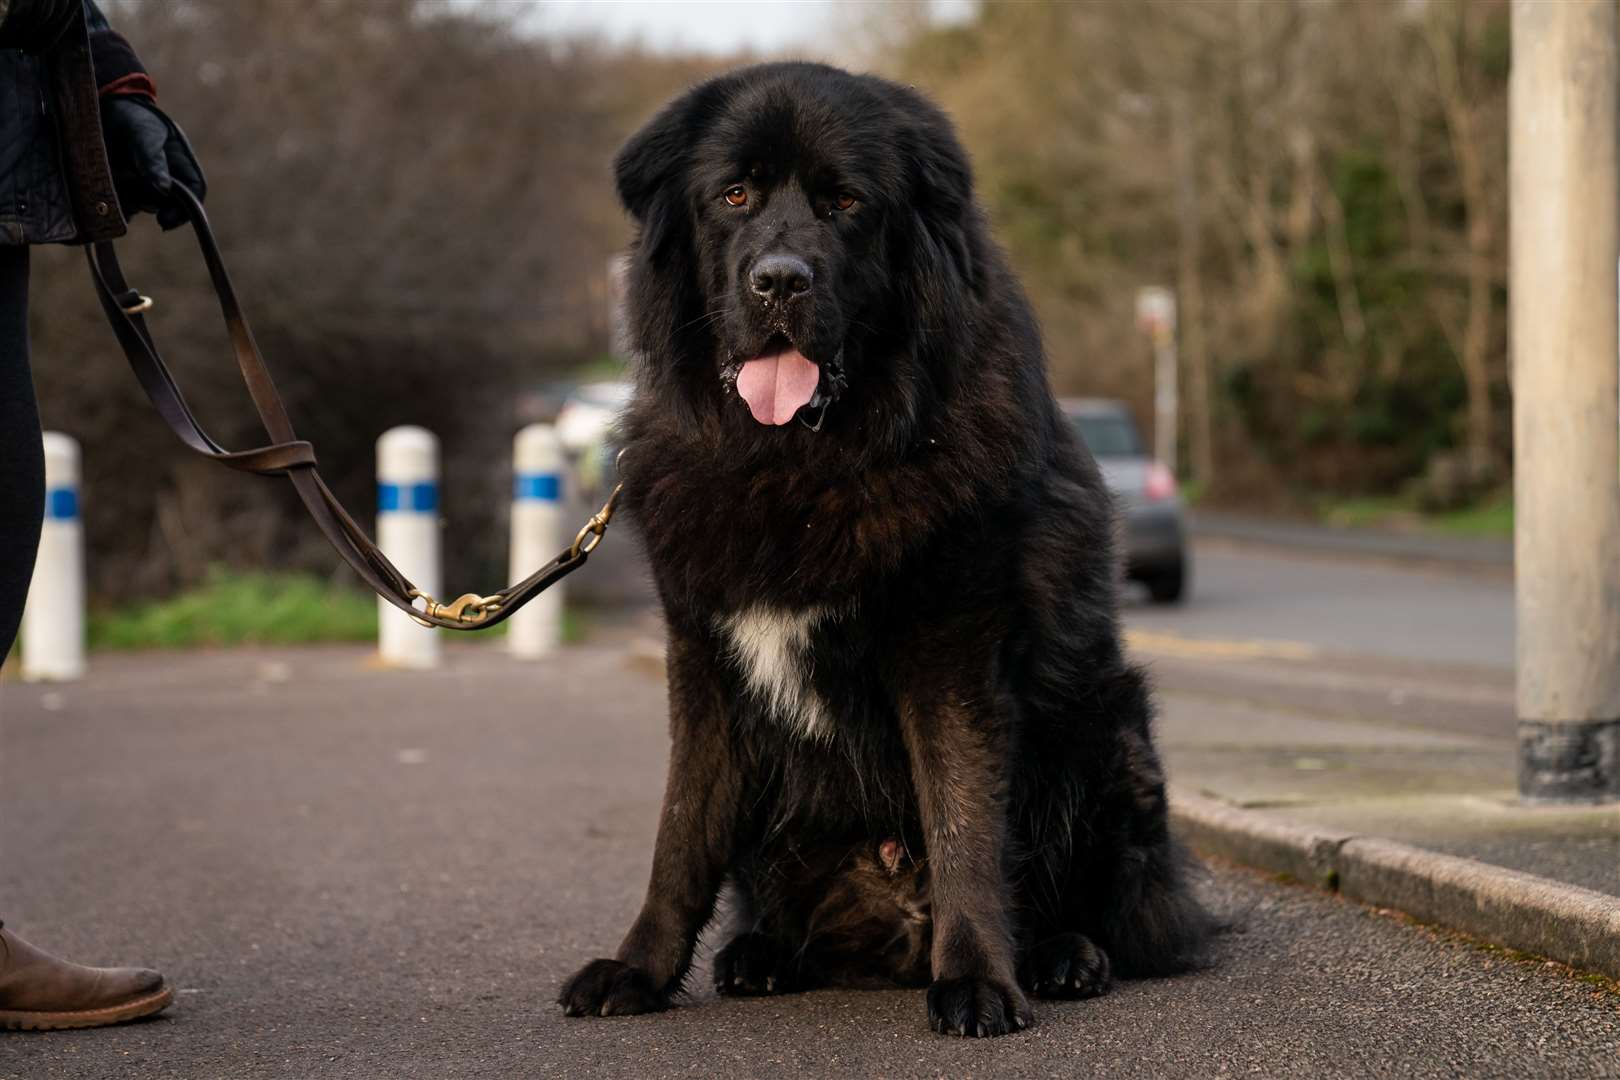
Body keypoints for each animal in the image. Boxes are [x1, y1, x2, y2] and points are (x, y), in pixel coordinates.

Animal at [563, 65, 1211, 1036]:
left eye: (846, 204)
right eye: (735, 195)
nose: (779, 281)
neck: (801, 462)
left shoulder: (950, 644)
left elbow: (964, 822)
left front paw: (978, 977)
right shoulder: (704, 655)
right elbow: (679, 835)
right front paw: (638, 969)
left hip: (1105, 726)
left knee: (1111, 907)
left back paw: (1065, 957)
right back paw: (760, 954)